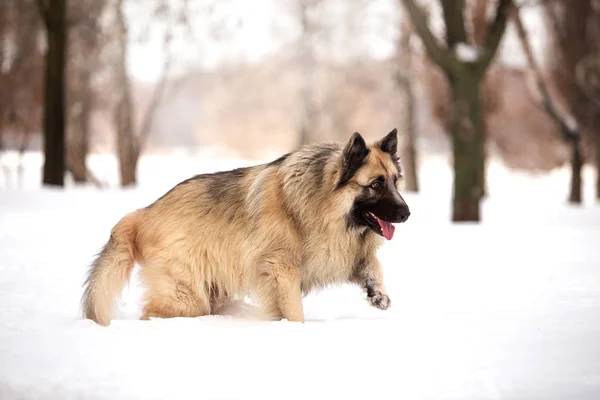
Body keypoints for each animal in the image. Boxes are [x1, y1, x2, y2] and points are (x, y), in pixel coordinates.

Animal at [82, 130, 410, 326]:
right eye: (375, 185)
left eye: (395, 181)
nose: (406, 213)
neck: (319, 199)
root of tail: (142, 214)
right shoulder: (281, 270)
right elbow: (293, 311)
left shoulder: (343, 251)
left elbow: (370, 263)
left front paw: (378, 292)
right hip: (186, 296)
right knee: (156, 312)